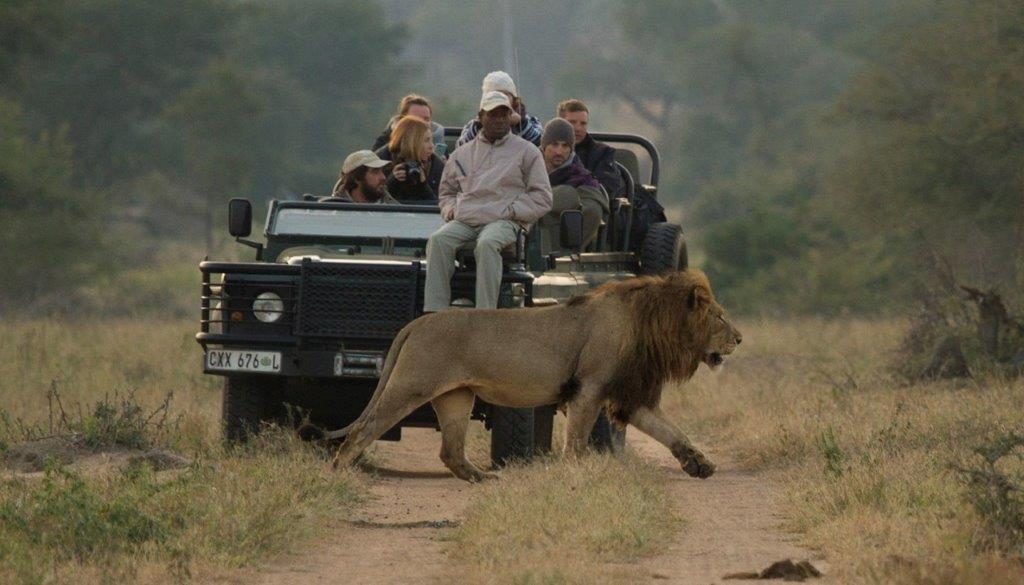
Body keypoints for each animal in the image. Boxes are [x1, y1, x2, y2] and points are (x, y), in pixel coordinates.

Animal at [331, 268, 741, 481]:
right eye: (719, 317)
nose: (739, 338)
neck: (650, 326)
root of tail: (417, 323)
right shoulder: (588, 388)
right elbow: (577, 439)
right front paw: (576, 471)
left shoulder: (629, 395)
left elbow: (672, 431)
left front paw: (700, 464)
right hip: (410, 386)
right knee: (361, 429)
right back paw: (340, 472)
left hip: (456, 396)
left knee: (450, 450)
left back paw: (482, 478)